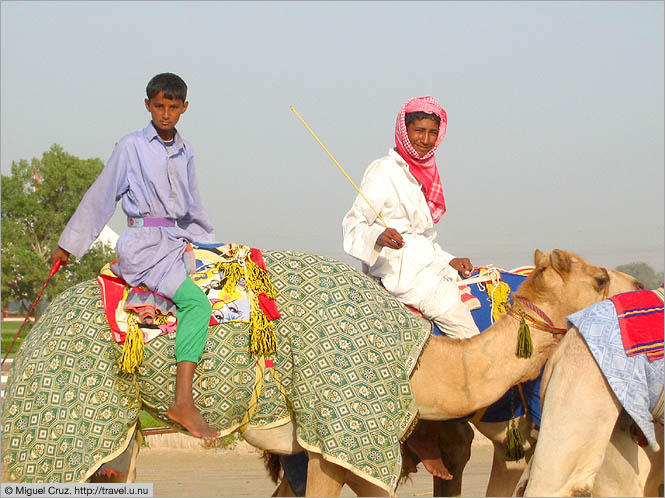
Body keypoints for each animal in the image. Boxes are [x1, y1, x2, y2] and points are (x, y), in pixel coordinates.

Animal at [2, 247, 640, 496]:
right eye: (598, 278)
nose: (639, 287)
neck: (421, 364)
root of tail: (31, 332)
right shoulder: (338, 430)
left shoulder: (353, 449)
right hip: (61, 424)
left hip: (116, 437)